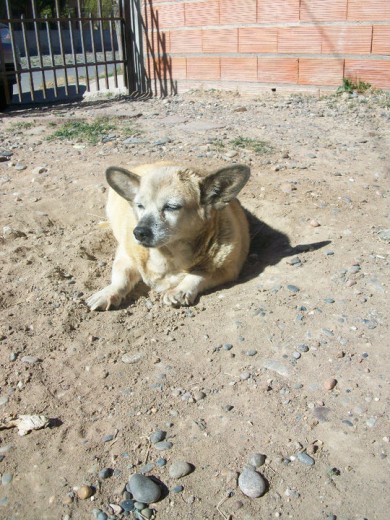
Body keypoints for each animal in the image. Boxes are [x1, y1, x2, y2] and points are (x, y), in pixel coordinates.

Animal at [86, 160, 250, 310]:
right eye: (140, 206)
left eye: (171, 207)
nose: (138, 232)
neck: (167, 256)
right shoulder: (124, 256)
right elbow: (121, 278)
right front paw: (108, 293)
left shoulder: (227, 270)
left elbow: (200, 273)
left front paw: (180, 290)